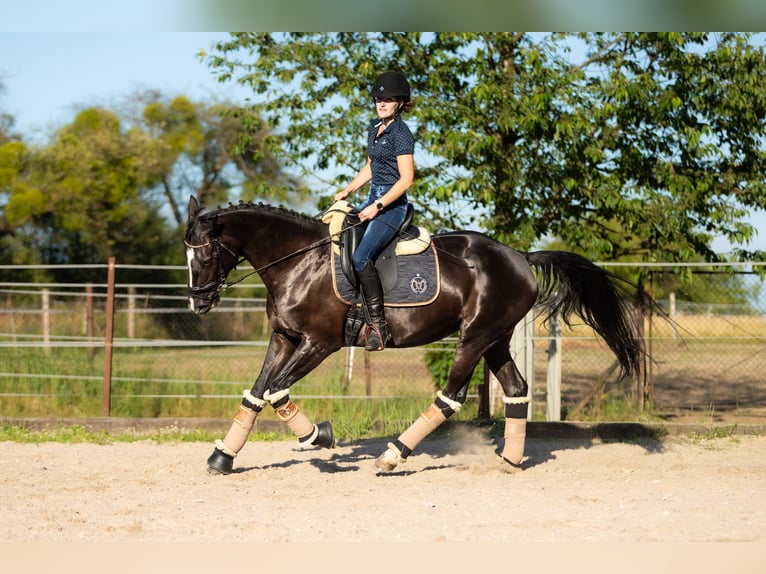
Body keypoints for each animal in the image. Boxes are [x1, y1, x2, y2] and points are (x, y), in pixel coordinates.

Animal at [184, 196, 640, 474]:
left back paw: (391, 456)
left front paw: (320, 437)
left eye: (204, 256)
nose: (197, 304)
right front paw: (222, 457)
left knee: (451, 396)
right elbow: (257, 393)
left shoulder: (319, 344)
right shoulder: (283, 338)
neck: (300, 263)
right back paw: (509, 460)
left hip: (474, 338)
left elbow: (277, 390)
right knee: (516, 388)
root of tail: (521, 257)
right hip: (495, 339)